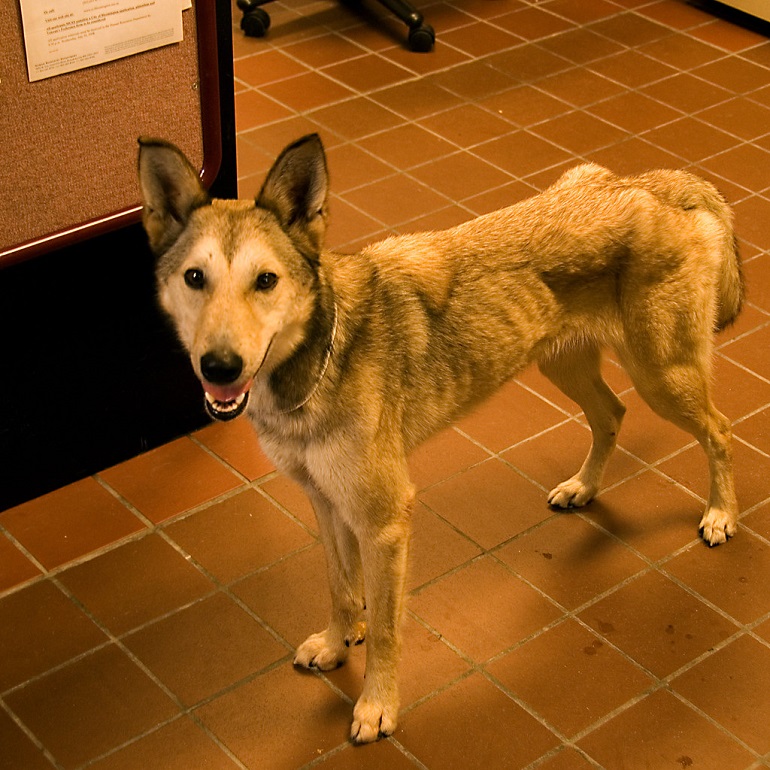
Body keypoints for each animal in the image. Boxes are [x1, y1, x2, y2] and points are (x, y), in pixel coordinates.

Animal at [135, 135, 740, 740]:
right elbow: (339, 588)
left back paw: (721, 515)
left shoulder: (384, 520)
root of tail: (652, 183)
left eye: (265, 280)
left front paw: (377, 704)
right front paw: (336, 644)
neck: (321, 357)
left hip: (662, 376)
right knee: (612, 414)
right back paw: (584, 488)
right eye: (194, 278)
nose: (218, 367)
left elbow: (384, 627)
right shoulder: (327, 504)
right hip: (564, 364)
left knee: (720, 431)